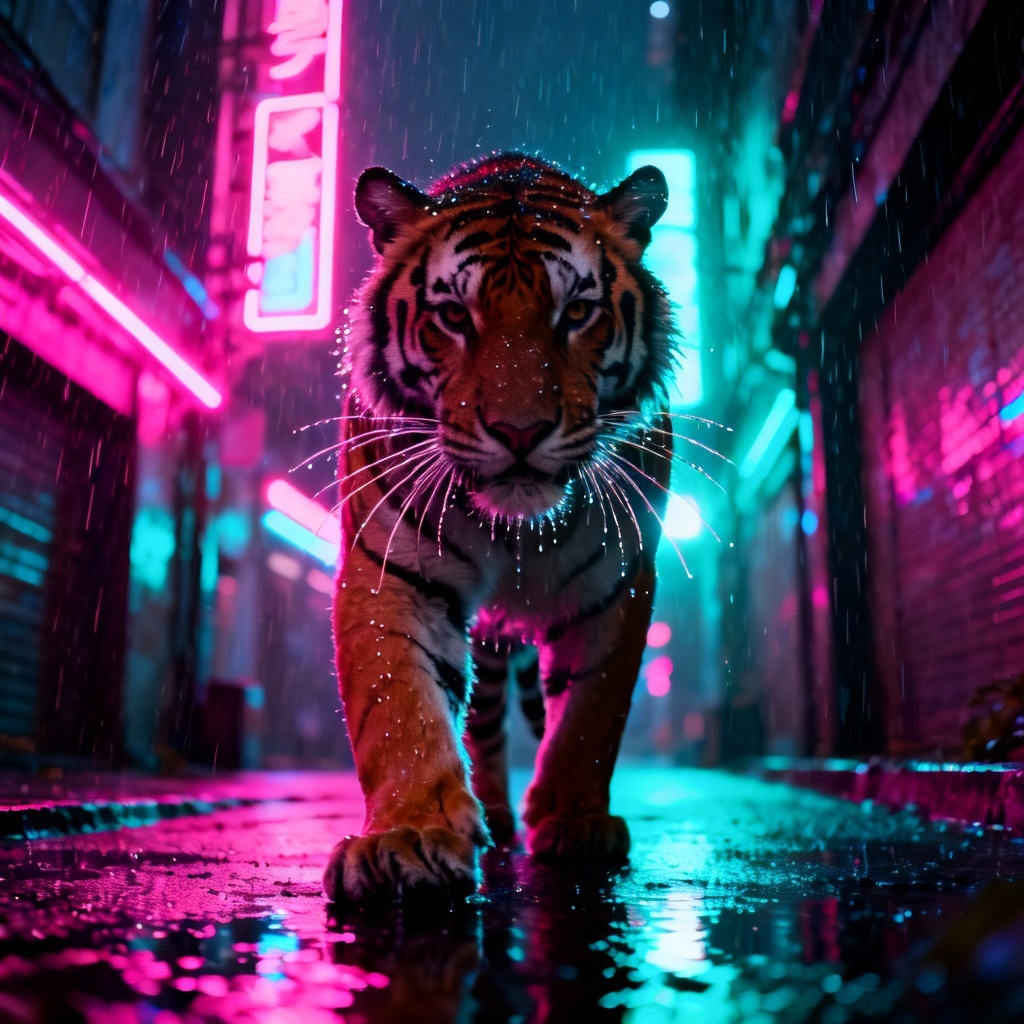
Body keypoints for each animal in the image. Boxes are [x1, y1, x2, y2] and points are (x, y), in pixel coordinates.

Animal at [324, 152, 677, 903]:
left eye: (578, 312)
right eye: (454, 316)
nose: (520, 432)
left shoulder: (618, 582)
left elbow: (590, 715)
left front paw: (575, 822)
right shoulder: (392, 569)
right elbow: (398, 706)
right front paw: (409, 836)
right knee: (483, 722)